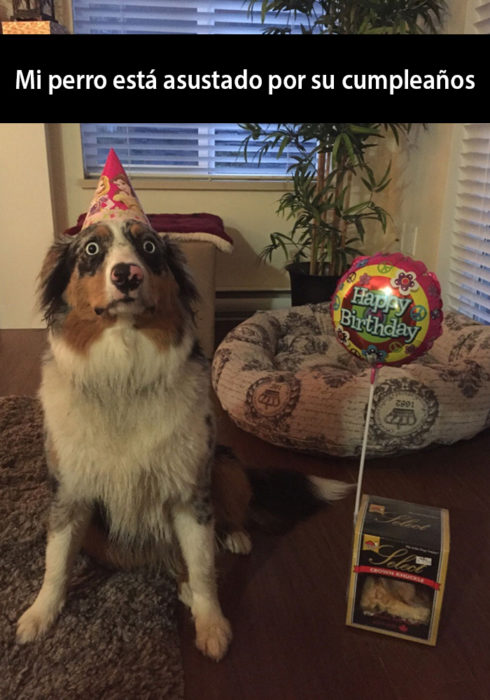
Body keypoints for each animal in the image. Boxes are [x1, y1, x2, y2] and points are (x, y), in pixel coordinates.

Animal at [16, 220, 352, 660]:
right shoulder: (69, 493)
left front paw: (212, 625)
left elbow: (203, 565)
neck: (123, 376)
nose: (127, 275)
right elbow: (55, 560)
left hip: (224, 464)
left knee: (224, 520)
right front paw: (40, 614)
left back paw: (233, 538)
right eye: (91, 249)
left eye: (148, 247)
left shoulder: (189, 492)